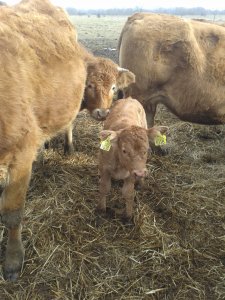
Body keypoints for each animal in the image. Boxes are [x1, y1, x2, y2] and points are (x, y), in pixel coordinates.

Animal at [0, 0, 134, 282]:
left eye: (114, 88)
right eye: (91, 86)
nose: (102, 112)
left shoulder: (20, 155)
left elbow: (12, 213)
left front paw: (13, 260)